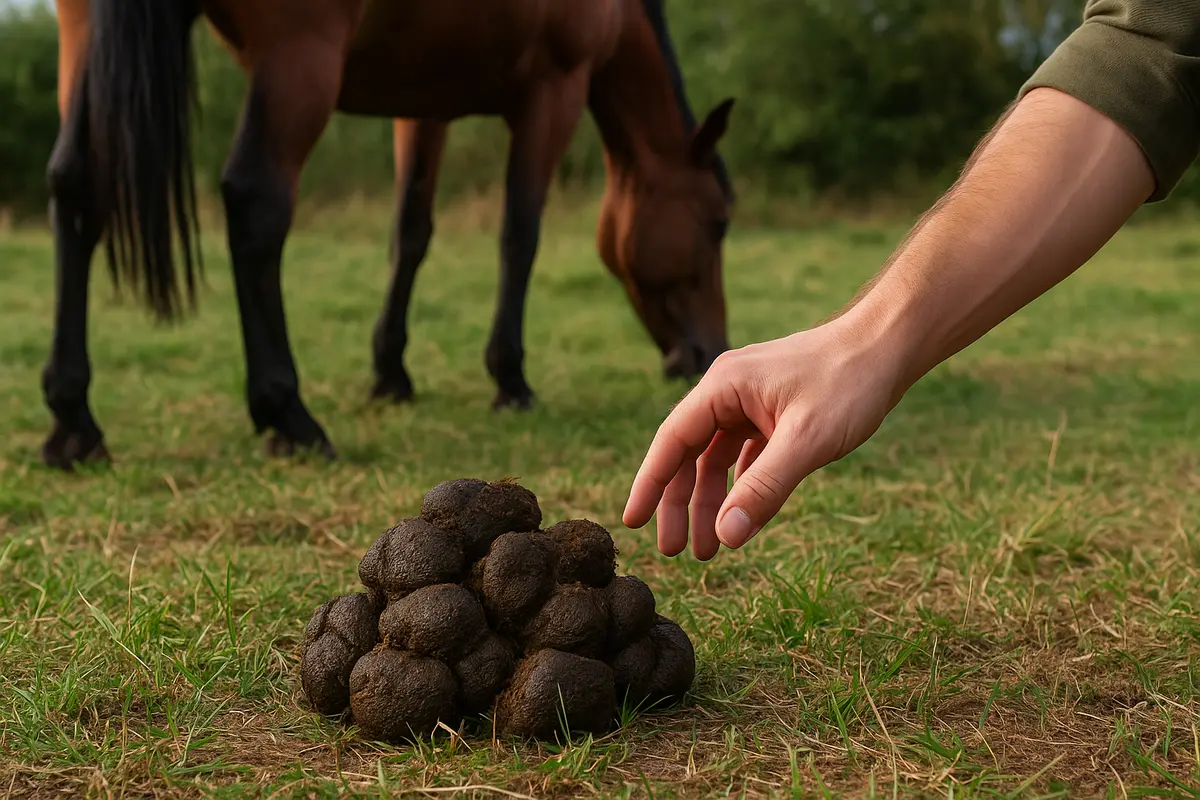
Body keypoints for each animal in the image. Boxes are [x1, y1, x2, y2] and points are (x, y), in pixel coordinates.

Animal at [43, 0, 736, 469]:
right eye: (719, 221)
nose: (707, 353)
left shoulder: (424, 104)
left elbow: (411, 234)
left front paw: (390, 373)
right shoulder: (553, 91)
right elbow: (520, 235)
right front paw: (509, 380)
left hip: (85, 40)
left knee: (77, 189)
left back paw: (74, 419)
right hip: (300, 55)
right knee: (255, 203)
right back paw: (288, 414)